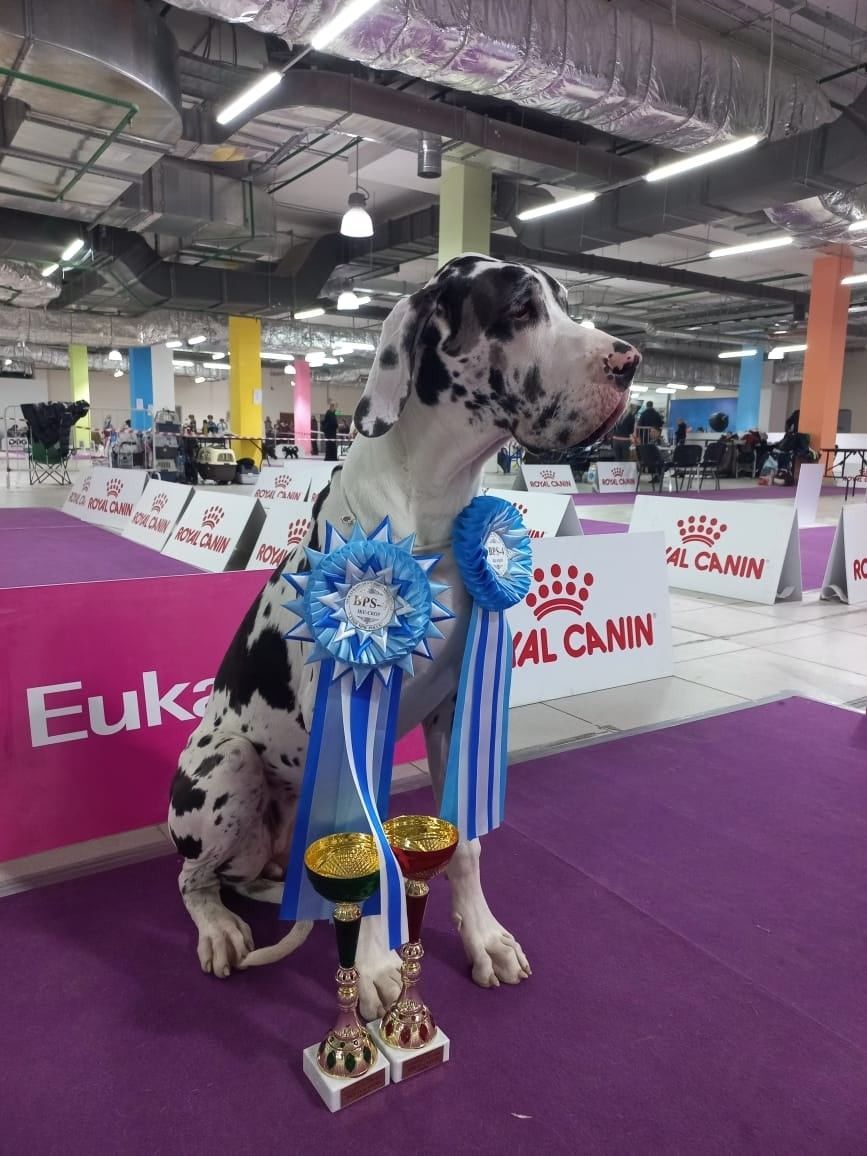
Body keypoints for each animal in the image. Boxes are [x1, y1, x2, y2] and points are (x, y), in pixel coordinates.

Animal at [168, 253, 640, 1019]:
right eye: (519, 309)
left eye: (568, 304)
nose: (629, 362)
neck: (431, 508)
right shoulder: (348, 721)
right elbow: (359, 843)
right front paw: (374, 967)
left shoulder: (455, 711)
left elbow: (466, 845)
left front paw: (483, 938)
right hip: (226, 762)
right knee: (192, 878)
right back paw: (217, 928)